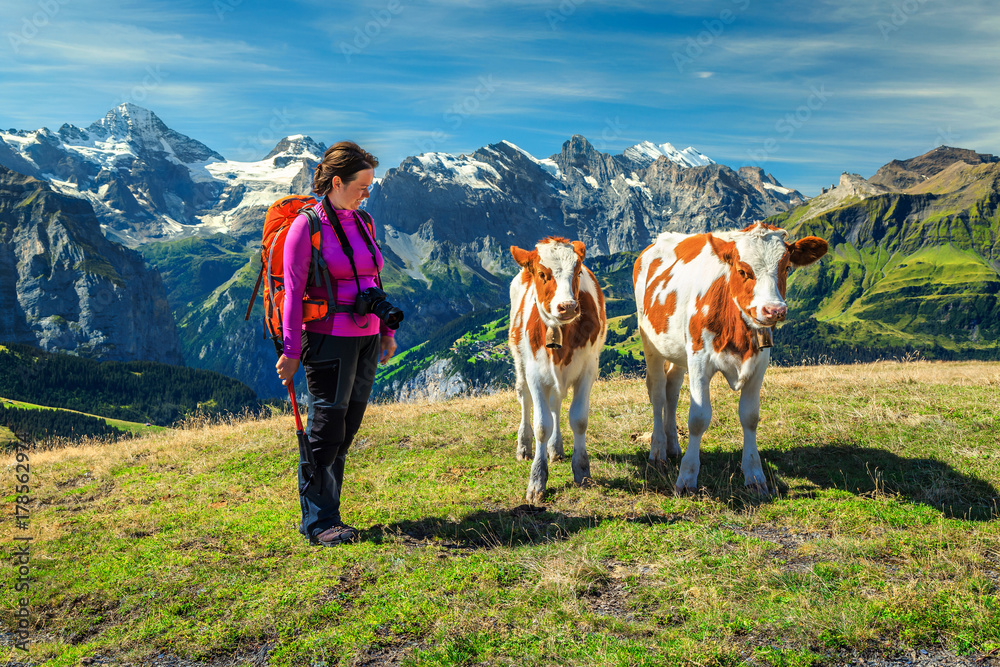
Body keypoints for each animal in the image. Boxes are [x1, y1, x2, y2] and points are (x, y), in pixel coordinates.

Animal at [512, 237, 604, 504]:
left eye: (578, 271)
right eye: (542, 273)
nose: (568, 307)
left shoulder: (588, 370)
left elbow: (579, 420)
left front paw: (582, 470)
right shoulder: (534, 373)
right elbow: (542, 426)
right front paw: (537, 481)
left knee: (556, 404)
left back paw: (556, 448)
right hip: (520, 362)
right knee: (524, 399)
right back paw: (524, 445)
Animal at [632, 224, 828, 496]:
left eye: (787, 267)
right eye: (743, 270)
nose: (774, 311)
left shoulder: (760, 362)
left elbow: (750, 417)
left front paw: (755, 476)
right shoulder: (699, 359)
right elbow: (698, 418)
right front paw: (687, 477)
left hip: (678, 351)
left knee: (672, 390)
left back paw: (672, 446)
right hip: (650, 341)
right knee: (658, 392)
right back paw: (658, 451)